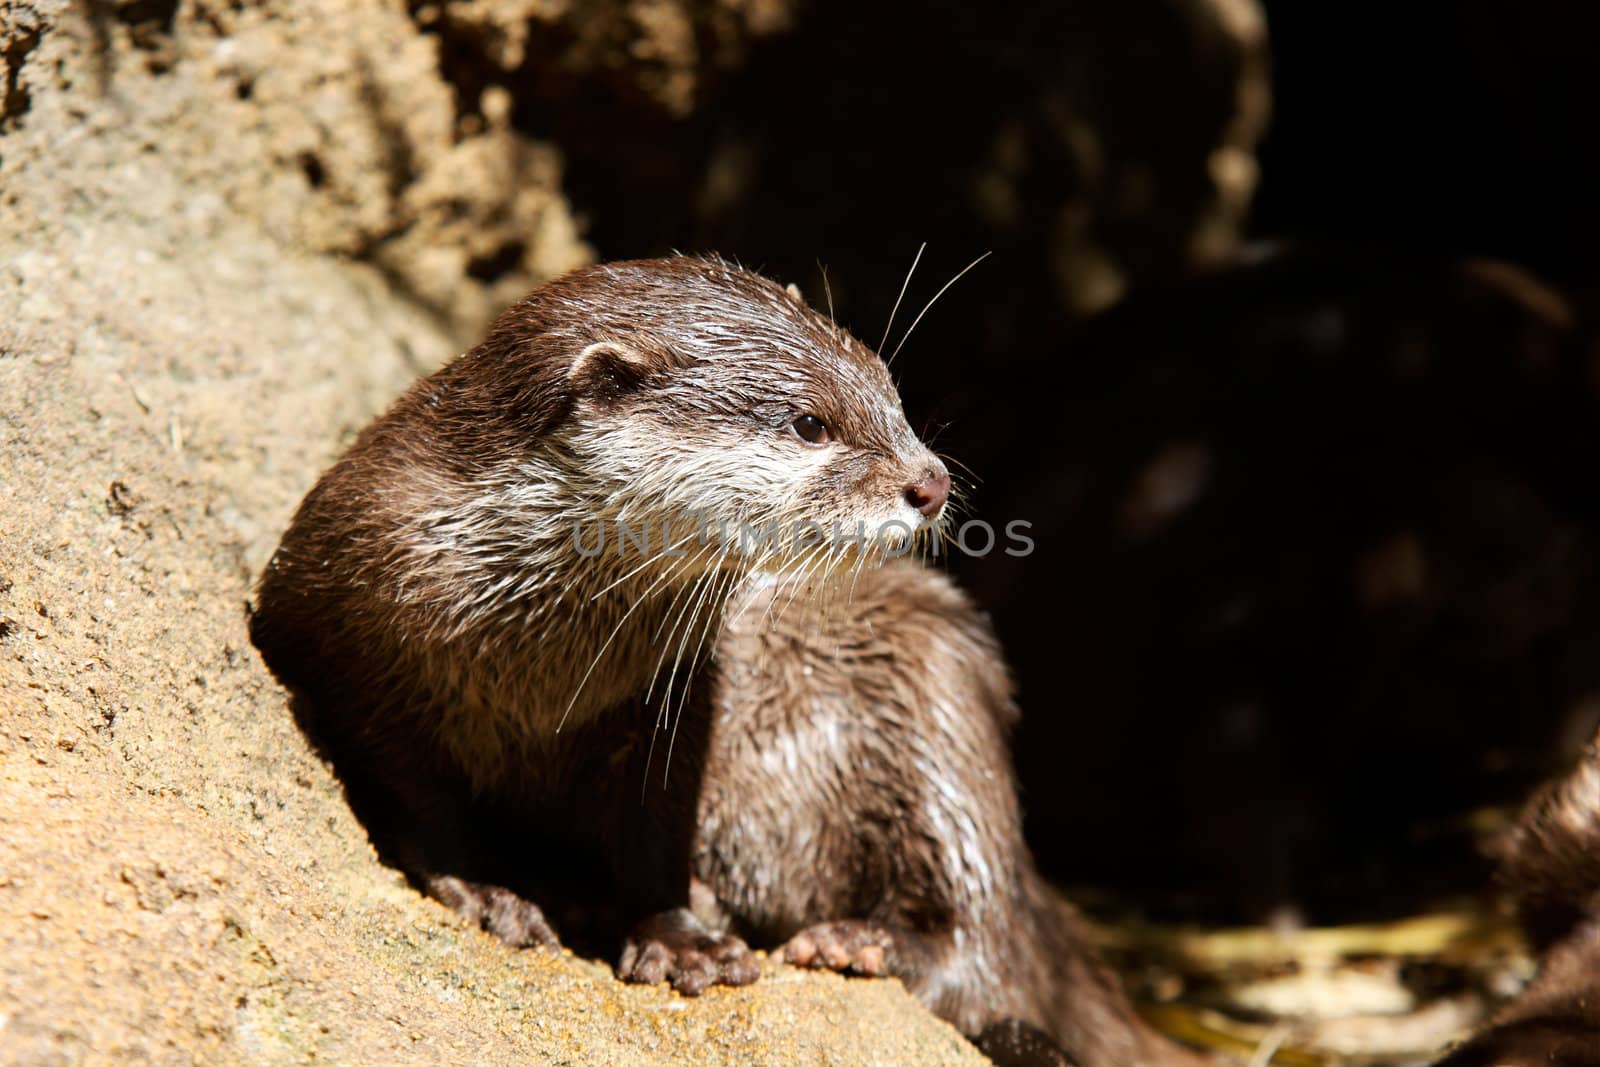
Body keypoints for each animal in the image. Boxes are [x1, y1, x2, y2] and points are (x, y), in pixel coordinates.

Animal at [246, 259, 1203, 1067]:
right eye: (810, 422)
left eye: (891, 394)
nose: (931, 482)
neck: (535, 677)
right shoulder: (355, 644)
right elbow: (420, 796)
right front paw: (491, 887)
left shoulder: (670, 705)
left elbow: (657, 831)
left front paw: (682, 937)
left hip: (933, 692)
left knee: (985, 930)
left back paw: (855, 939)